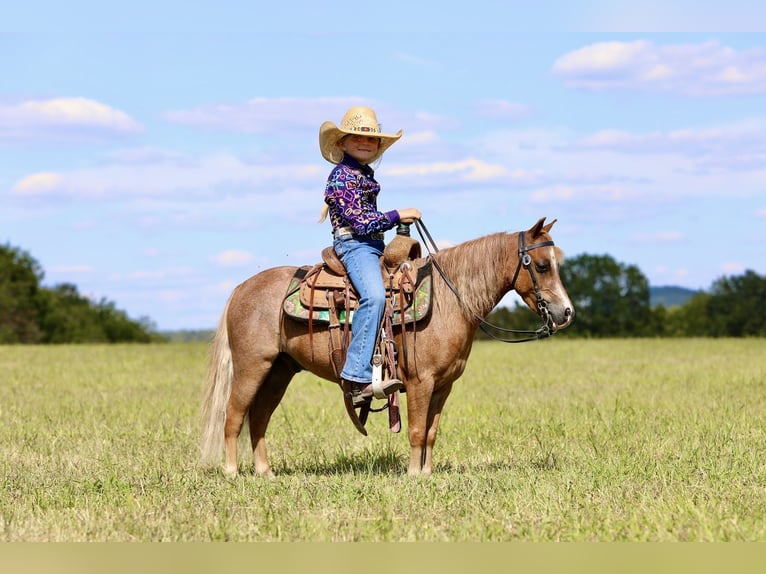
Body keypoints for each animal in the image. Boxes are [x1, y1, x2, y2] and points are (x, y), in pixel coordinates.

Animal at [200, 217, 574, 477]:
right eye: (542, 265)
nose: (566, 312)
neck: (449, 299)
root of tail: (240, 288)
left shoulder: (443, 386)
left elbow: (431, 432)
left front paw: (426, 473)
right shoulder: (421, 382)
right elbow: (416, 430)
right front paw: (413, 476)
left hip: (279, 371)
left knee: (259, 418)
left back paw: (266, 473)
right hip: (252, 366)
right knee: (234, 416)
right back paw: (232, 473)